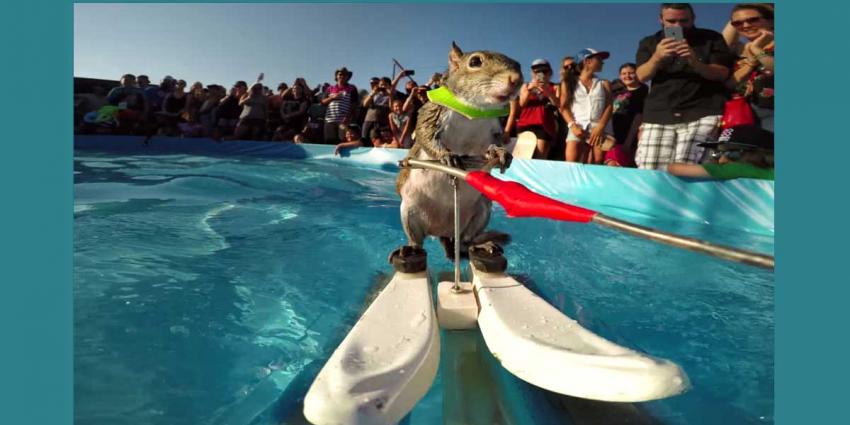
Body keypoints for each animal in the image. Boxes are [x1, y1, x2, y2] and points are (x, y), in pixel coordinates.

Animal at [390, 42, 524, 268]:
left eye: (519, 65)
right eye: (475, 61)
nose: (515, 80)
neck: (474, 111)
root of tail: (444, 231)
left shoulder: (495, 129)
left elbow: (494, 145)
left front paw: (500, 153)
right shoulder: (433, 113)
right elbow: (425, 134)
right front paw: (447, 156)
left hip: (480, 213)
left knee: (466, 241)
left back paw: (479, 245)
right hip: (409, 212)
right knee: (417, 240)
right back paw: (411, 248)